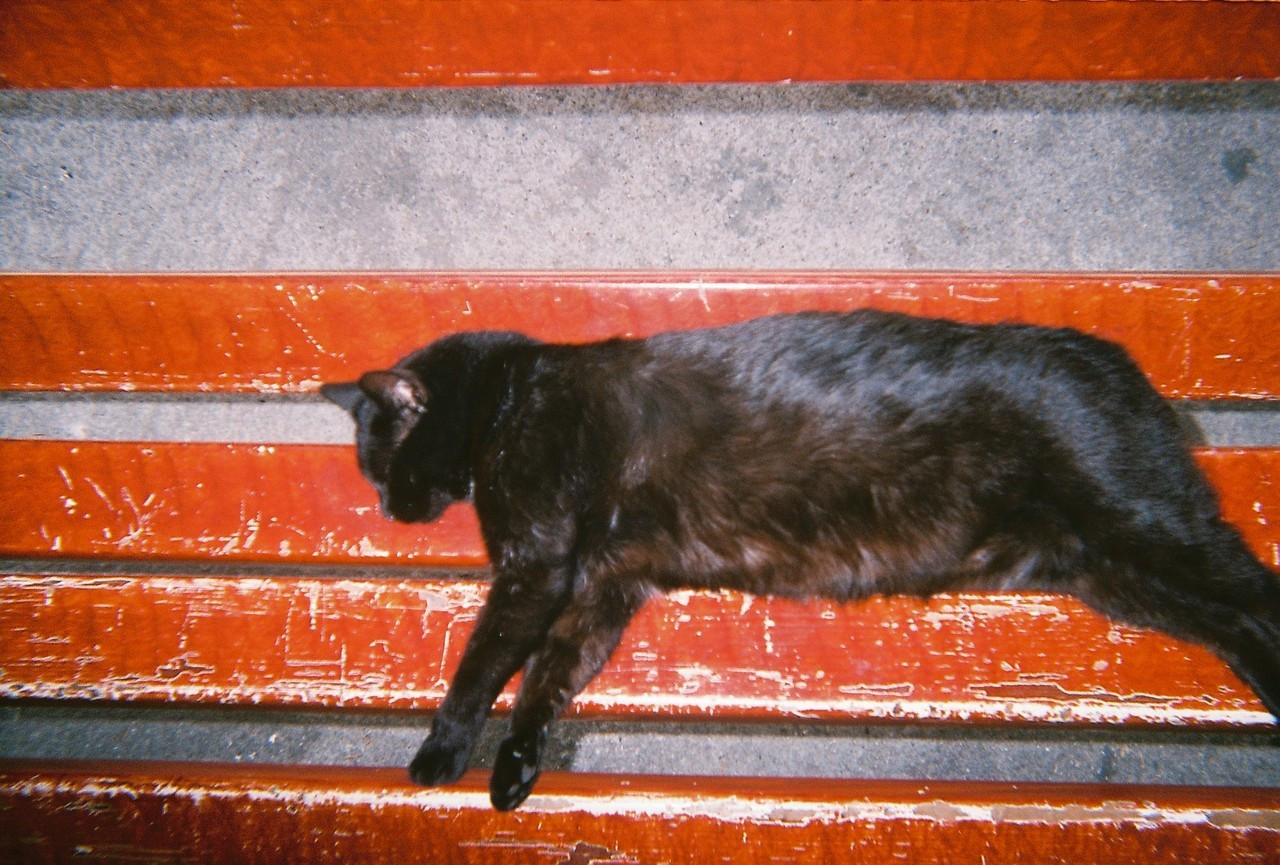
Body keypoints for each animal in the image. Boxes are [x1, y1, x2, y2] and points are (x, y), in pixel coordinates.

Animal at [323, 310, 1280, 811]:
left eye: (385, 466)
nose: (389, 509)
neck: (511, 395)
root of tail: (1126, 367)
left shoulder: (537, 568)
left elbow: (484, 663)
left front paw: (441, 749)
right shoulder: (603, 585)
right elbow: (551, 674)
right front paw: (518, 762)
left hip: (1144, 530)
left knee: (1255, 592)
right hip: (1114, 571)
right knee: (1237, 618)